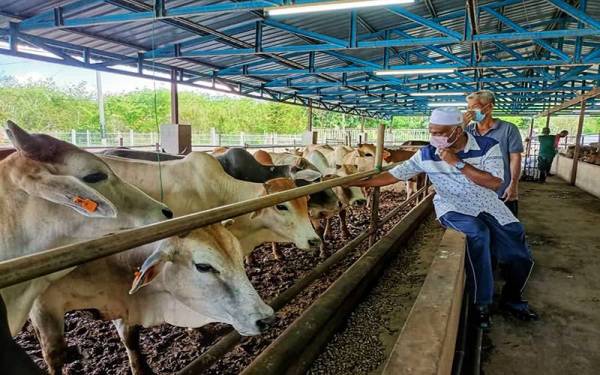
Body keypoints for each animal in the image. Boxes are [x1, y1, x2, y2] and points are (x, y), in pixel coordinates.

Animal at [28, 223, 272, 375]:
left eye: (239, 258)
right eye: (203, 266)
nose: (265, 318)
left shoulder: (123, 304)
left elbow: (131, 338)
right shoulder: (43, 307)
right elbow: (53, 354)